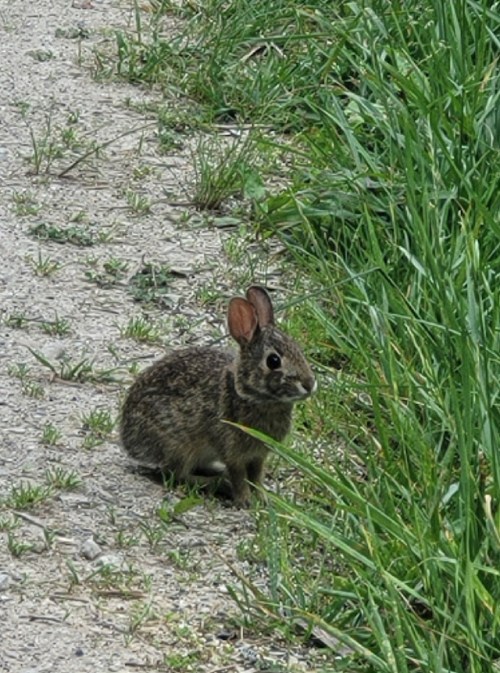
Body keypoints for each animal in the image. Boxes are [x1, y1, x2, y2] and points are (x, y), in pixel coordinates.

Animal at [120, 286, 316, 507]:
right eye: (273, 361)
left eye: (298, 349)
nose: (309, 384)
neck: (248, 394)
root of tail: (128, 437)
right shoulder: (232, 451)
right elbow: (239, 476)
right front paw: (245, 501)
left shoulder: (258, 456)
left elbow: (256, 476)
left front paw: (264, 499)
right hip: (177, 445)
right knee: (177, 474)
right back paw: (219, 482)